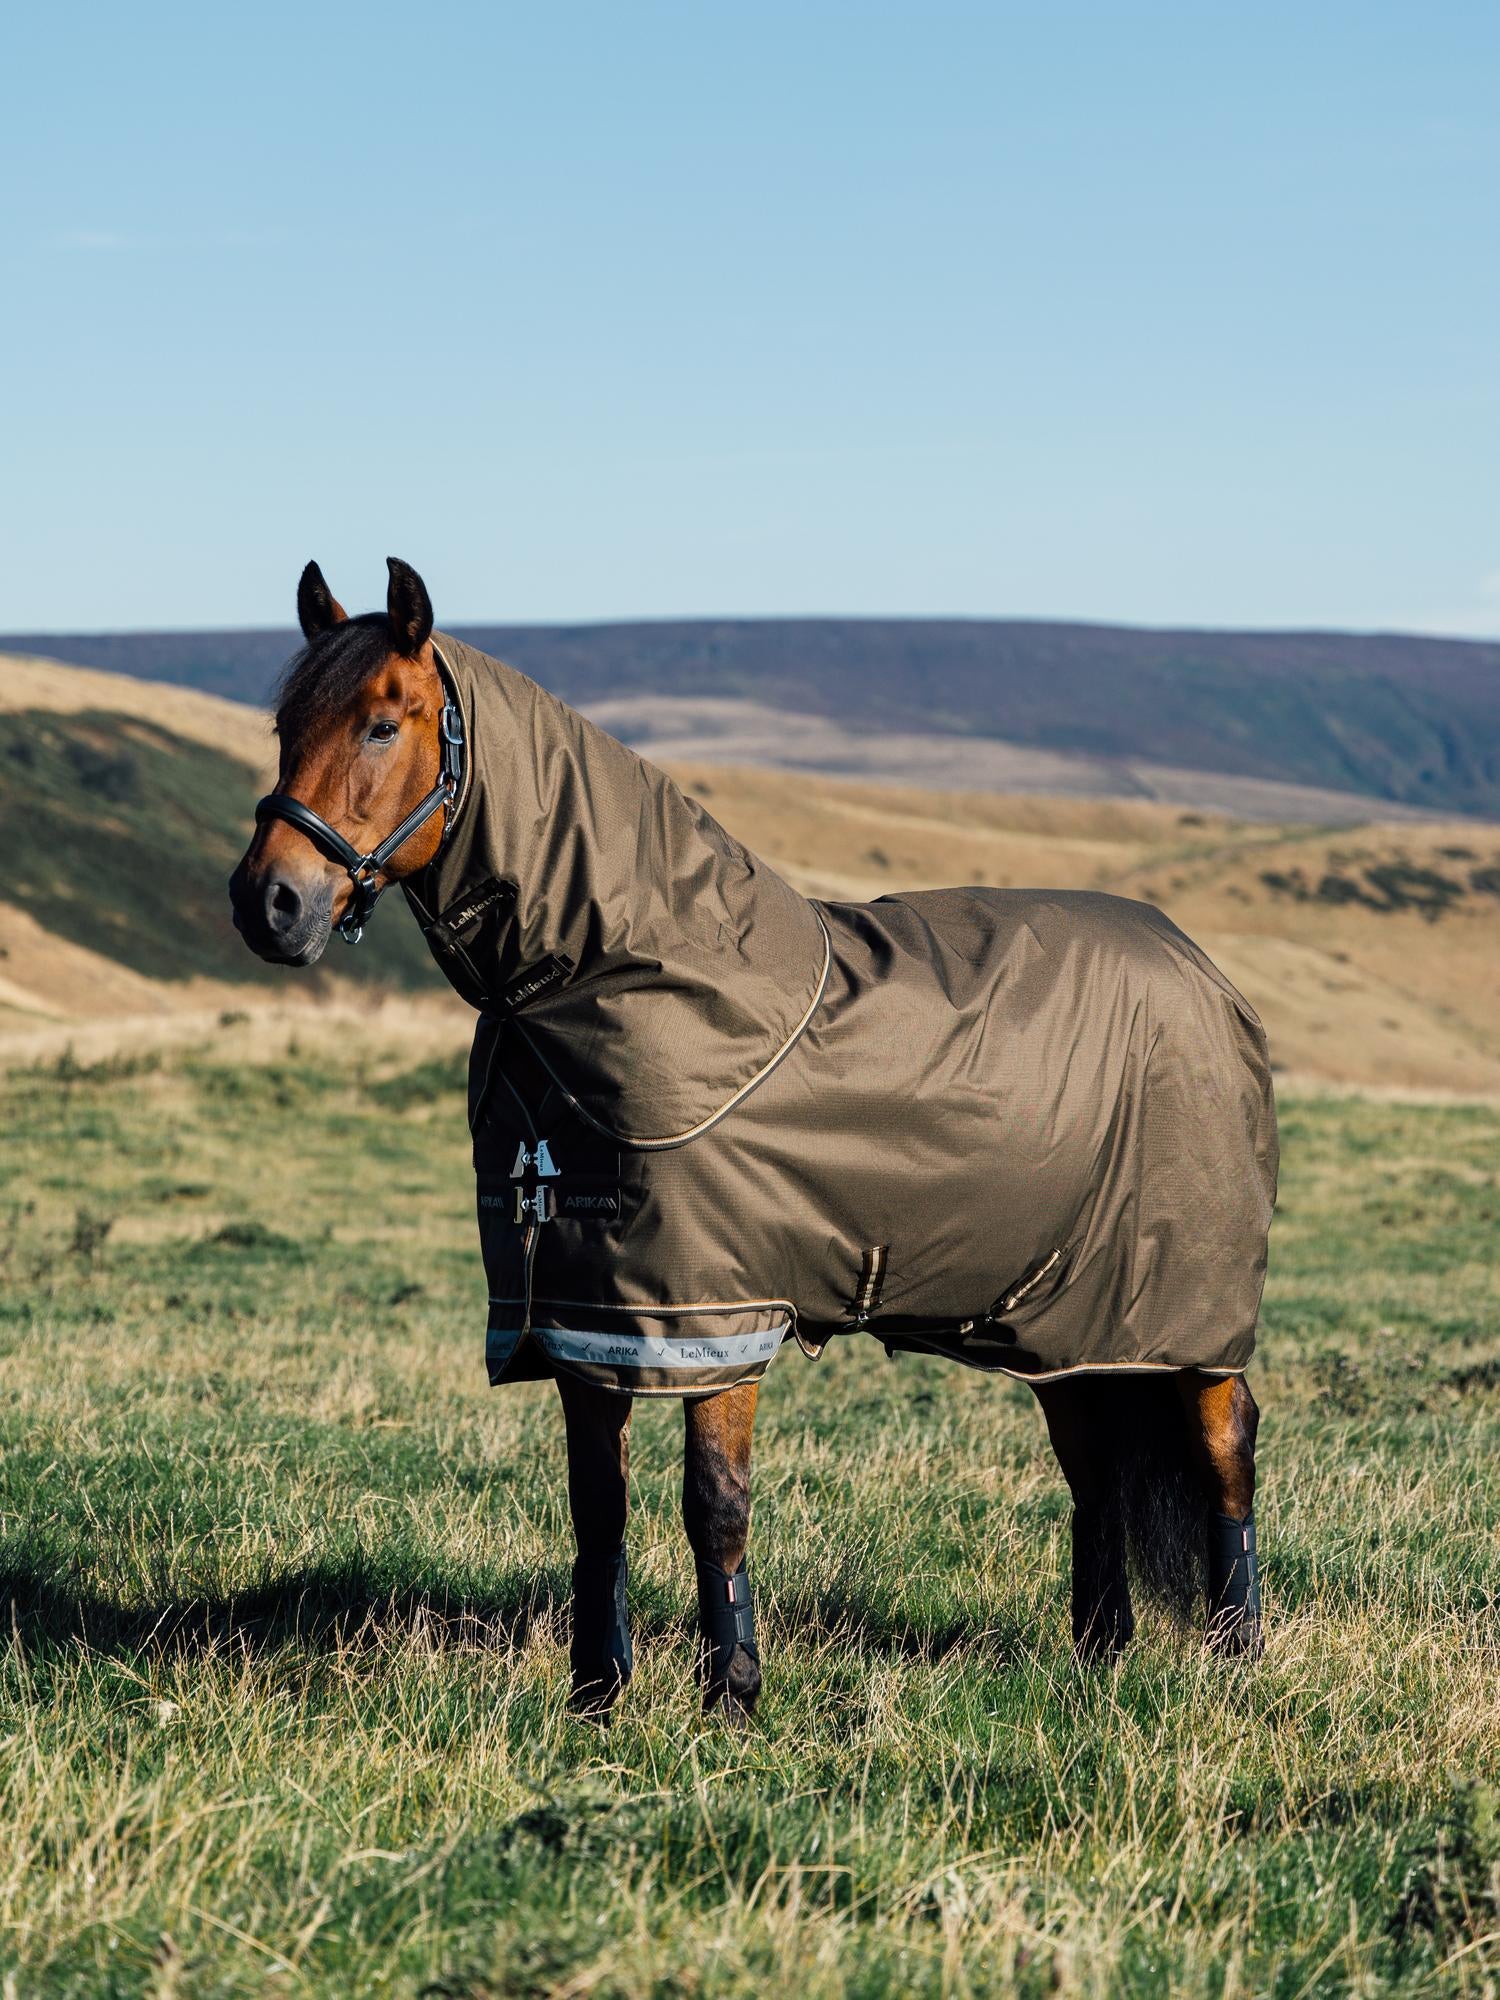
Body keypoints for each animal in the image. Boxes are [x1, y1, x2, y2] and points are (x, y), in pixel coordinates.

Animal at [229, 557, 1276, 1721]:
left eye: (380, 723)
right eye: (284, 723)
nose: (269, 903)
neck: (636, 972)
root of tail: (1204, 974)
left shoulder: (716, 1316)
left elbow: (713, 1504)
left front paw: (731, 1689)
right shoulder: (587, 1322)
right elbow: (598, 1509)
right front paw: (597, 1693)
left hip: (1187, 1307)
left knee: (1225, 1448)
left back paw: (1238, 1652)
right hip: (1072, 1312)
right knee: (1094, 1462)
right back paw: (1100, 1649)